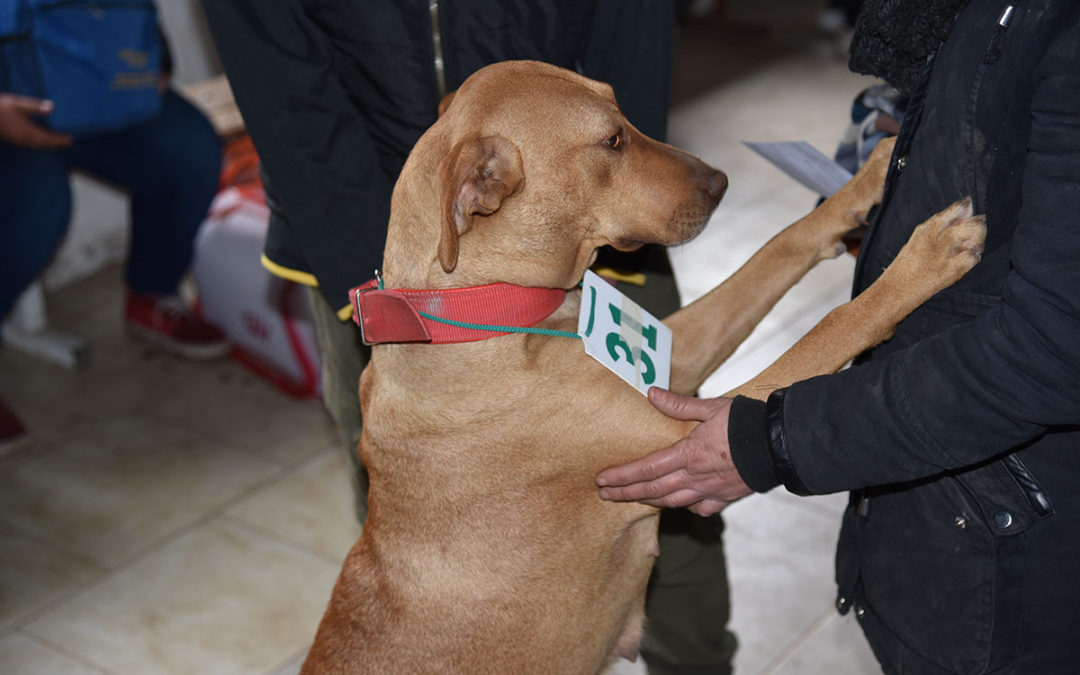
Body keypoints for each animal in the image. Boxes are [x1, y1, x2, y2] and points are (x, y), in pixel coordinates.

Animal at [300, 60, 984, 669]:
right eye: (611, 140)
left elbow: (777, 247)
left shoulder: (674, 372)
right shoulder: (698, 430)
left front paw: (862, 183)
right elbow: (834, 326)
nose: (721, 182)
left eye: (621, 113)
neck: (478, 313)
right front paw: (922, 261)